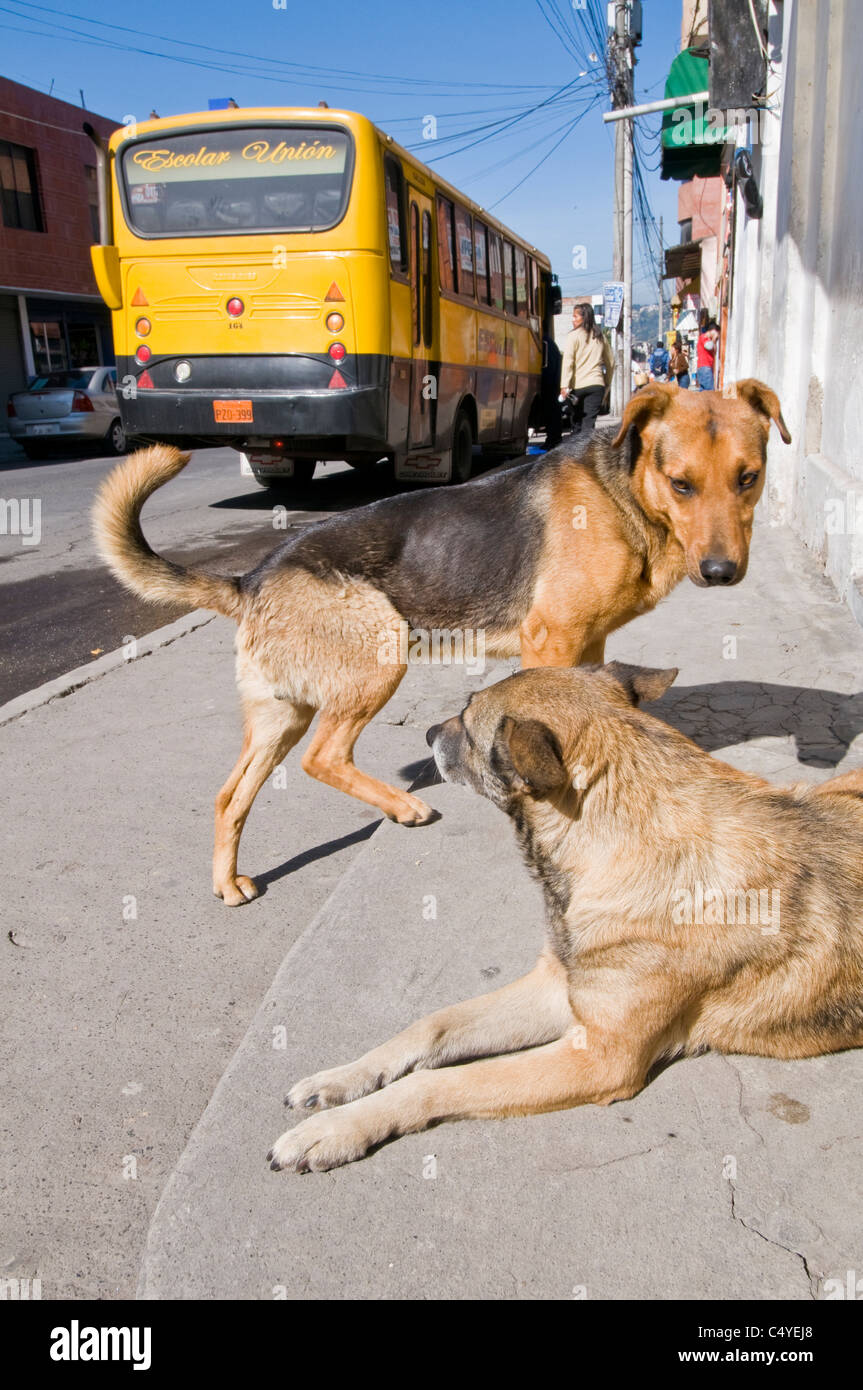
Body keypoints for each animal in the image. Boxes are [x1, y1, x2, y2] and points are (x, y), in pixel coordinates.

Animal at [92, 380, 789, 906]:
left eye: (749, 478)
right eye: (681, 484)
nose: (721, 572)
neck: (626, 493)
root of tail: (251, 578)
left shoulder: (588, 644)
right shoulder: (553, 638)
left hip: (277, 717)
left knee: (230, 795)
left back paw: (228, 881)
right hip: (381, 654)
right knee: (323, 757)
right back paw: (403, 807)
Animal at [269, 661, 861, 1173]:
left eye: (467, 718)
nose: (429, 733)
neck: (624, 843)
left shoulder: (598, 1056)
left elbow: (438, 1081)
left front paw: (337, 1129)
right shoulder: (557, 990)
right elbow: (431, 1024)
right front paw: (342, 1080)